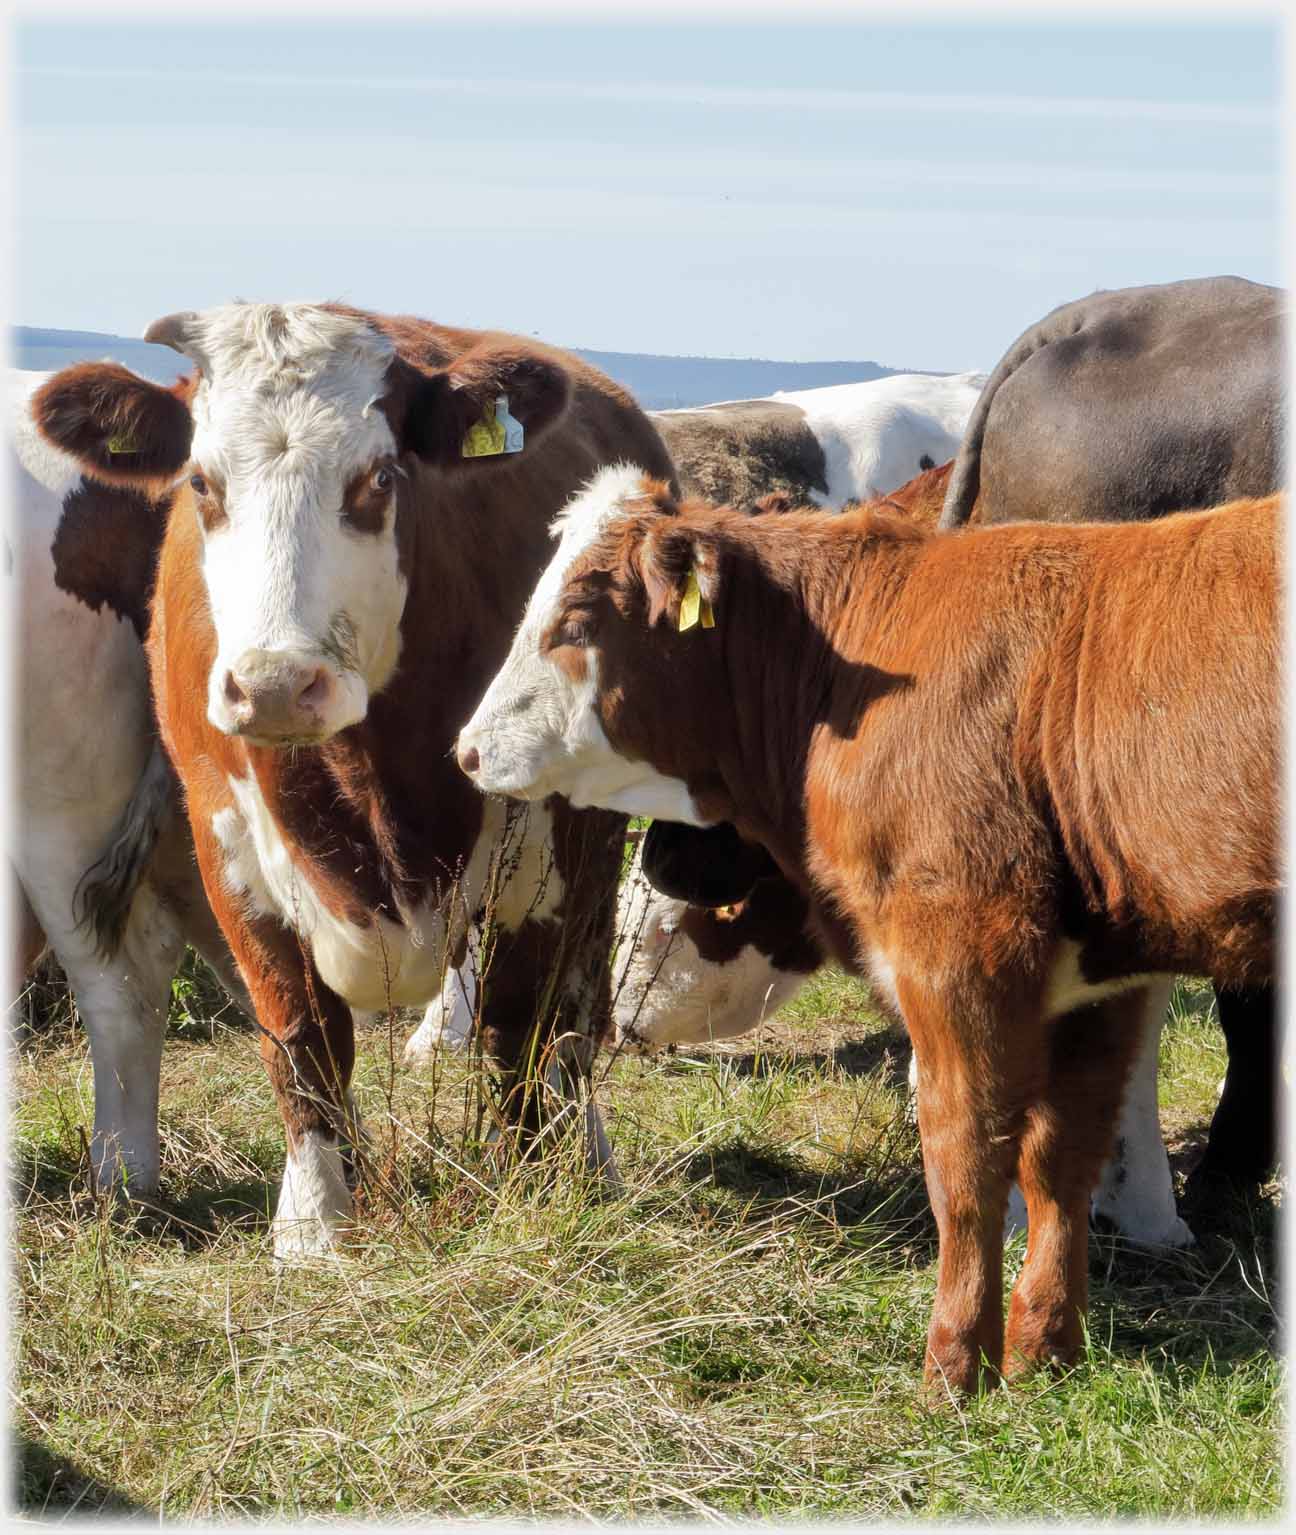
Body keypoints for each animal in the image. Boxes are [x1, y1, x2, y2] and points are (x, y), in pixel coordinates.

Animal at [32, 304, 676, 1259]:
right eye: (202, 482)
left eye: (377, 478)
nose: (272, 684)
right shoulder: (229, 846)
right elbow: (299, 1034)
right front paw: (314, 1222)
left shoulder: (550, 857)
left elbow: (521, 1030)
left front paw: (535, 1190)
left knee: (571, 1021)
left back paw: (588, 1153)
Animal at [455, 467, 1278, 1393]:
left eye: (576, 618)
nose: (469, 749)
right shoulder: (1101, 977)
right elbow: (1062, 1153)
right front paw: (1045, 1351)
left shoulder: (956, 943)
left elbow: (964, 1156)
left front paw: (953, 1368)